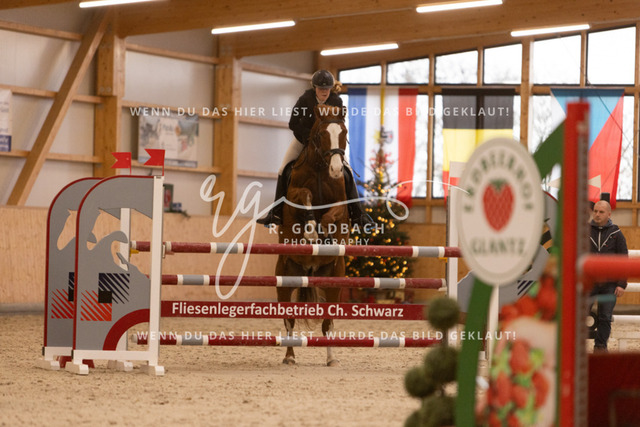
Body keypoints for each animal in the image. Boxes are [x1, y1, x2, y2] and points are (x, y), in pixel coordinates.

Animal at [275, 104, 350, 366]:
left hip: (334, 278)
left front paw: (324, 233)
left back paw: (332, 358)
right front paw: (310, 233)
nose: (337, 170)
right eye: (320, 135)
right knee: (289, 319)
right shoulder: (295, 194)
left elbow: (331, 215)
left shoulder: (341, 204)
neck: (320, 168)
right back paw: (289, 356)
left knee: (328, 323)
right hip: (285, 275)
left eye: (344, 133)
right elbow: (305, 194)